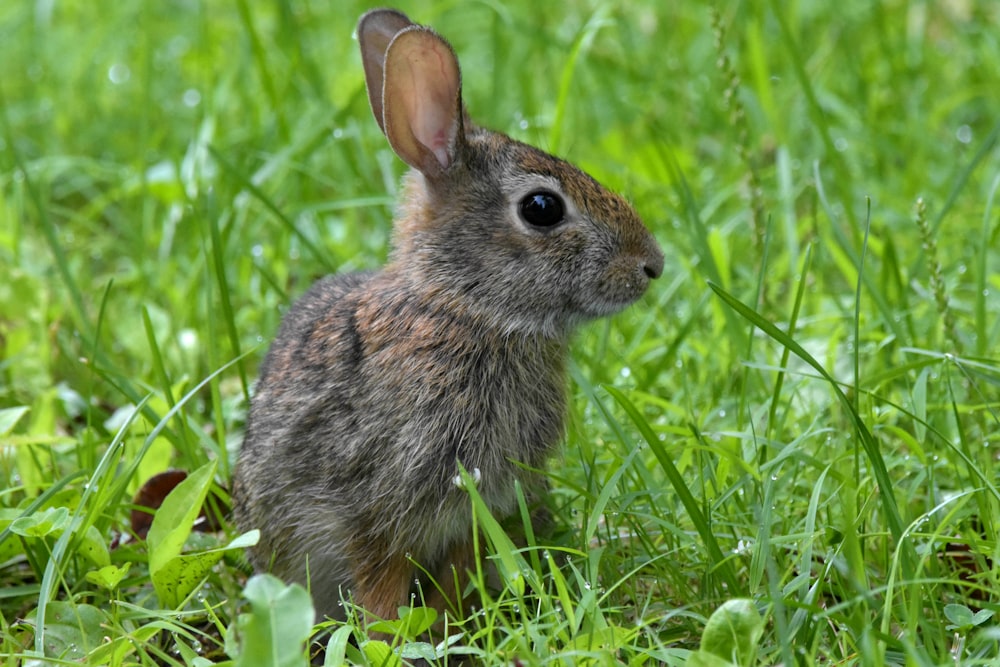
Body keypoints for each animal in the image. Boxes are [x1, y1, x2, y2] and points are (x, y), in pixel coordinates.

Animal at [229, 6, 664, 628]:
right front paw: (395, 634)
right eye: (542, 208)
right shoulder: (376, 505)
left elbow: (458, 571)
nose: (652, 265)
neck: (464, 310)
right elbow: (380, 579)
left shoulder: (481, 508)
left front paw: (449, 624)